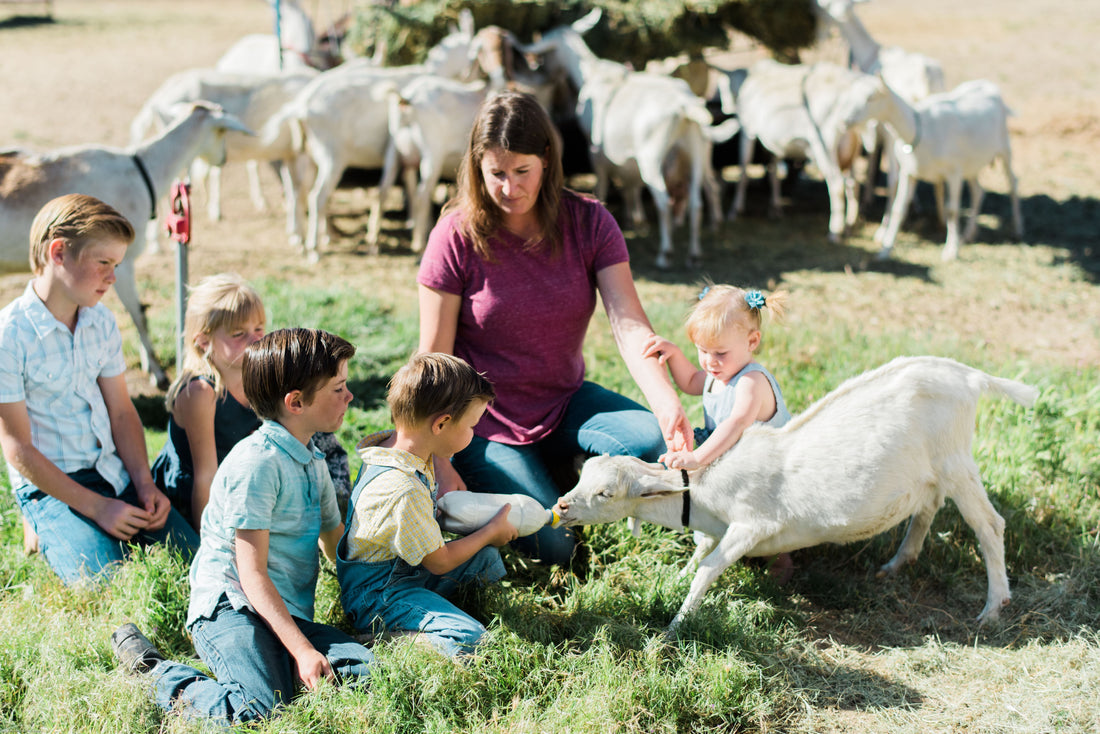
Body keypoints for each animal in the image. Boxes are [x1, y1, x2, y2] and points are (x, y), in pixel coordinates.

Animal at [0, 103, 251, 389]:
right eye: (222, 132)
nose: (223, 158)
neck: (143, 170)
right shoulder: (123, 262)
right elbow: (139, 315)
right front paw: (158, 373)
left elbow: (137, 310)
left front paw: (148, 364)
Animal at [514, 10, 739, 269]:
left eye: (545, 53)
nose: (539, 69)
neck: (591, 73)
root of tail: (685, 105)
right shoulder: (625, 157)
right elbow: (630, 184)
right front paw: (635, 219)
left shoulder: (596, 150)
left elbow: (604, 183)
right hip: (695, 150)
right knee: (698, 200)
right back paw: (694, 254)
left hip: (652, 156)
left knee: (664, 200)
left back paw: (665, 254)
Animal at [558, 356, 1038, 633]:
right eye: (584, 474)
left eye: (604, 493)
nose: (561, 505)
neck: (702, 491)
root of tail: (969, 375)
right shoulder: (714, 527)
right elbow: (700, 550)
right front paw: (676, 579)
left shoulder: (753, 524)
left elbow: (709, 569)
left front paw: (676, 623)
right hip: (932, 467)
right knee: (928, 507)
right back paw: (899, 562)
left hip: (956, 459)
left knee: (989, 525)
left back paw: (994, 607)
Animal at [726, 59, 880, 244]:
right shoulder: (775, 143)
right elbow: (773, 173)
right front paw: (775, 208)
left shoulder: (747, 129)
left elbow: (744, 169)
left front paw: (735, 210)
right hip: (849, 152)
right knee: (853, 184)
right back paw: (850, 224)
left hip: (824, 146)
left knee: (836, 185)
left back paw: (835, 231)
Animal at [849, 77, 1020, 259]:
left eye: (871, 97)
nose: (848, 119)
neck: (918, 128)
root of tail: (987, 83)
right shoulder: (909, 173)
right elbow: (898, 208)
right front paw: (885, 250)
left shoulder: (954, 173)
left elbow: (951, 210)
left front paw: (950, 251)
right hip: (971, 164)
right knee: (978, 192)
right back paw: (968, 234)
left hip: (1005, 148)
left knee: (1012, 183)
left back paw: (1017, 229)